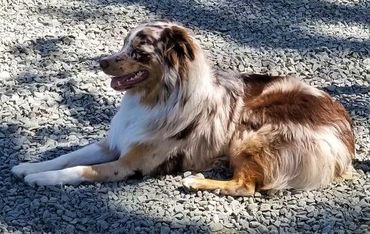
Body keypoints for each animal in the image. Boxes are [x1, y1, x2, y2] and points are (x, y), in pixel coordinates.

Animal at [10, 21, 354, 196]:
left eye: (138, 50)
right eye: (123, 44)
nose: (101, 62)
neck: (151, 99)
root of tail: (345, 134)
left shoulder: (128, 164)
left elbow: (79, 169)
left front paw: (43, 179)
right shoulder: (114, 143)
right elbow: (69, 156)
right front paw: (31, 166)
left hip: (250, 134)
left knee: (246, 187)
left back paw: (195, 181)